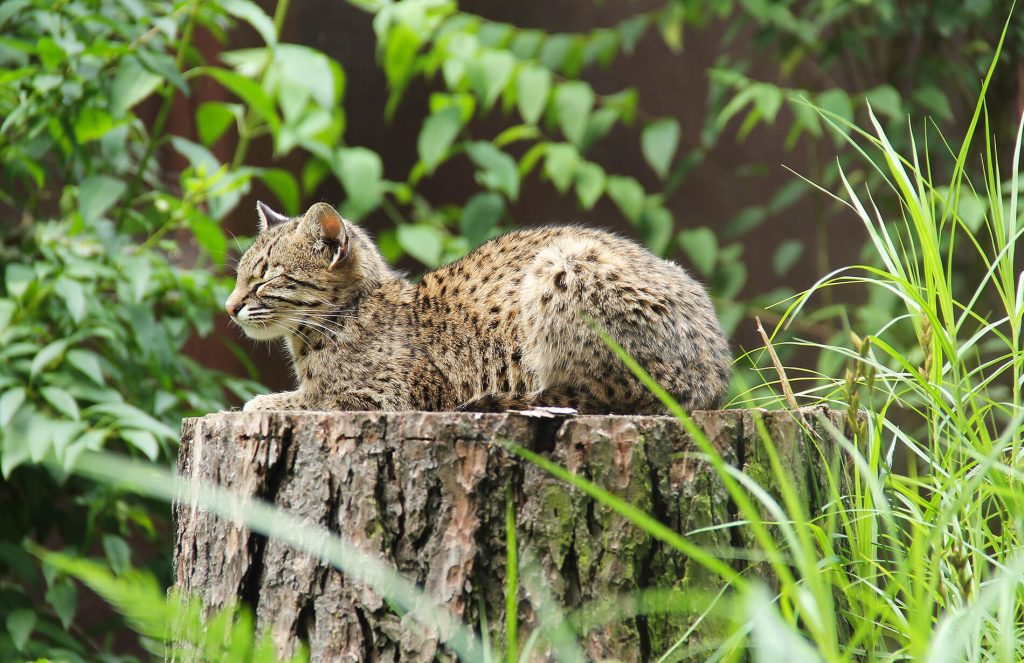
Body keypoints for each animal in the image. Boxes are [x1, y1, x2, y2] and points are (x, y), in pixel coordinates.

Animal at [223, 200, 729, 413]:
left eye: (265, 277)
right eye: (239, 275)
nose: (229, 307)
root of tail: (717, 373)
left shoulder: (390, 397)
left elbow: (308, 400)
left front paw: (264, 402)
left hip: (562, 263)